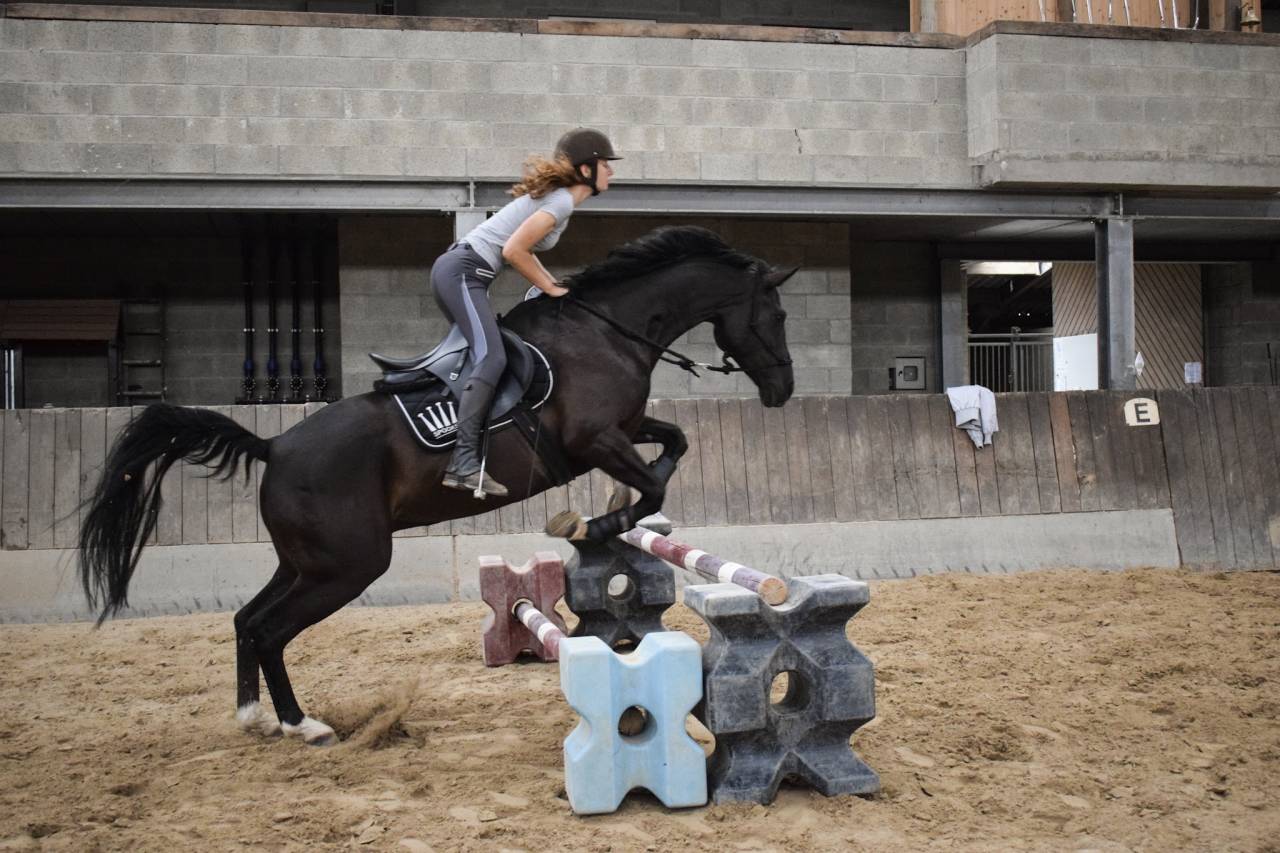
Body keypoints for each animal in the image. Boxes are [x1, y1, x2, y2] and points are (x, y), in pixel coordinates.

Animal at [77, 225, 796, 746]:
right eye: (777, 314)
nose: (783, 389)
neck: (605, 330)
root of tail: (273, 446)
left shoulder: (621, 429)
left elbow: (674, 444)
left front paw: (608, 517)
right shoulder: (596, 439)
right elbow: (652, 487)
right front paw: (595, 524)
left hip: (307, 562)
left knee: (247, 619)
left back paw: (254, 717)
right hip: (349, 565)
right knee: (270, 630)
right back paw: (302, 724)